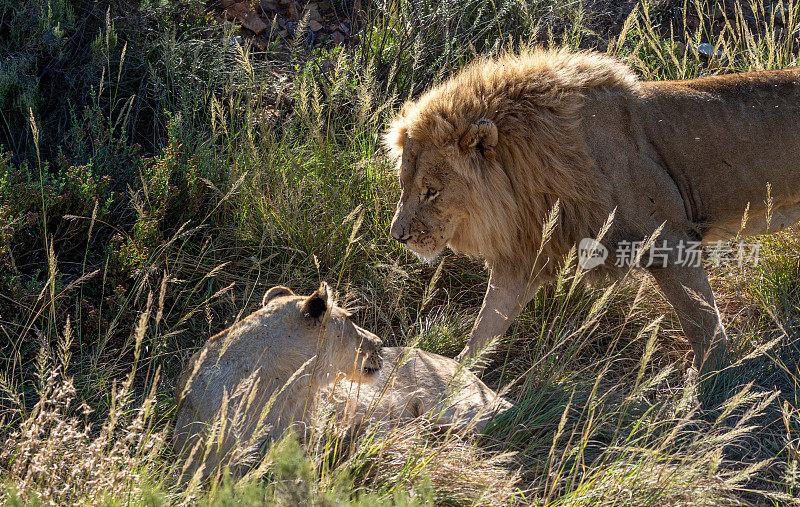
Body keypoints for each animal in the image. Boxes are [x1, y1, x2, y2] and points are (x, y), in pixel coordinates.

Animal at [388, 48, 800, 378]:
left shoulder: (669, 240)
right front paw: (455, 378)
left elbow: (700, 318)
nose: (397, 236)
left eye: (431, 191)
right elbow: (487, 323)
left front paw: (709, 383)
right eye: (405, 184)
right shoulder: (526, 255)